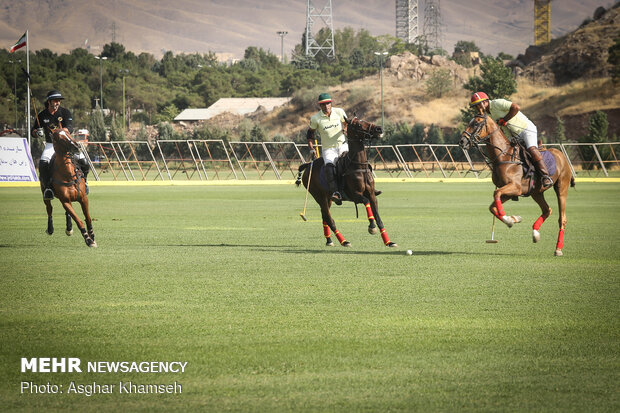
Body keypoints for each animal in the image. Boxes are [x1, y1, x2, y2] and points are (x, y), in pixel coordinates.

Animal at [296, 116, 398, 246]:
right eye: (358, 124)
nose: (379, 129)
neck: (358, 165)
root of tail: (309, 165)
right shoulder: (354, 195)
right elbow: (366, 202)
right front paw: (371, 226)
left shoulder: (372, 194)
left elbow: (378, 217)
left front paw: (388, 242)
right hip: (319, 196)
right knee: (329, 218)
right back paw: (344, 241)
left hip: (328, 198)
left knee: (325, 217)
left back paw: (329, 240)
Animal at [458, 111, 572, 256]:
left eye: (477, 123)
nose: (462, 141)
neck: (504, 156)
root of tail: (561, 154)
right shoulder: (508, 190)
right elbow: (492, 207)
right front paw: (513, 219)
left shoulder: (515, 188)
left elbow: (496, 194)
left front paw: (509, 219)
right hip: (536, 192)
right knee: (547, 210)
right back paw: (535, 233)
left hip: (562, 187)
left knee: (562, 218)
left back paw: (558, 249)